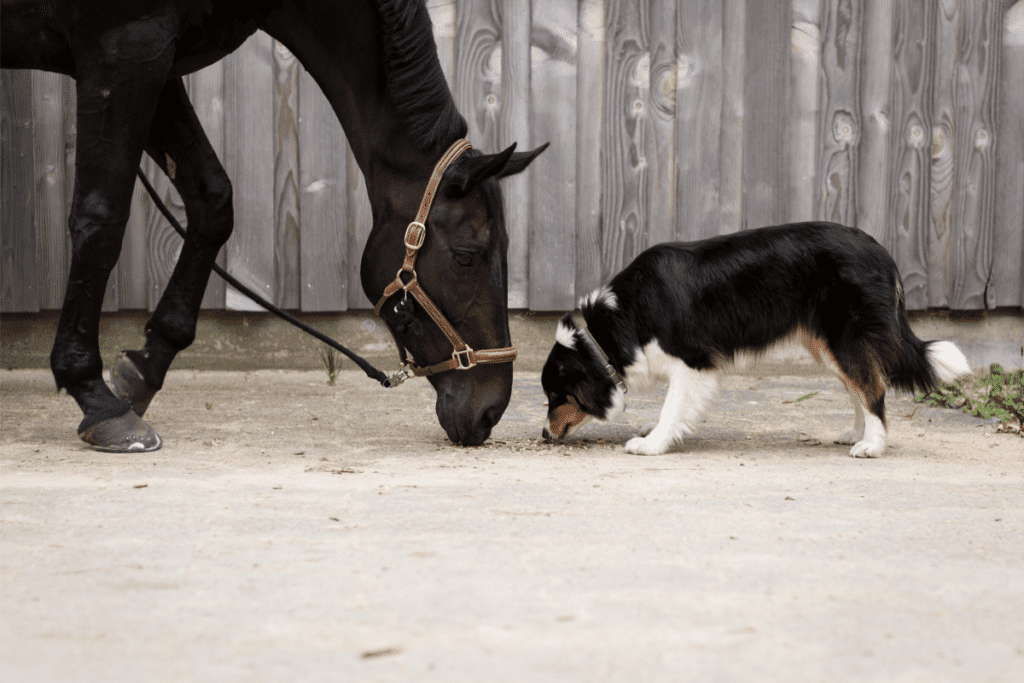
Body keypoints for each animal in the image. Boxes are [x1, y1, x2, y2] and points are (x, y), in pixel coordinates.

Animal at [0, 1, 544, 454]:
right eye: (466, 256)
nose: (490, 409)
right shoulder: (123, 51)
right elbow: (101, 221)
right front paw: (96, 397)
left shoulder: (159, 60)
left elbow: (213, 201)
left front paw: (144, 371)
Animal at [540, 224, 970, 458]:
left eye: (555, 395)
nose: (543, 435)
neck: (615, 325)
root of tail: (884, 254)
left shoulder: (693, 361)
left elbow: (672, 407)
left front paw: (653, 443)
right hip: (827, 345)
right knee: (859, 386)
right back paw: (858, 432)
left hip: (845, 338)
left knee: (873, 387)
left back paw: (872, 445)